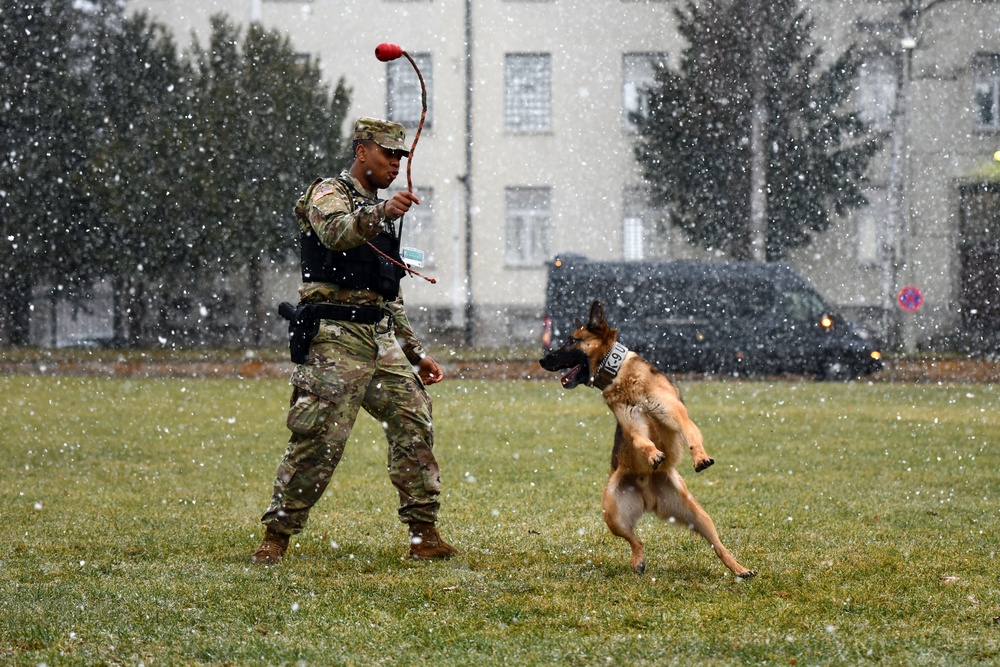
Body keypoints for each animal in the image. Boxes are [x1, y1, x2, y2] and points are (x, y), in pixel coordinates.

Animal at [544, 302, 752, 580]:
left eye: (571, 340)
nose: (542, 359)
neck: (621, 376)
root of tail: (647, 494)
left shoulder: (675, 414)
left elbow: (690, 434)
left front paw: (699, 457)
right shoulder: (634, 425)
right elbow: (642, 442)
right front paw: (654, 455)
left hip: (699, 515)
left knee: (718, 545)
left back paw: (740, 569)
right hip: (612, 514)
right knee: (637, 541)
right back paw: (638, 561)